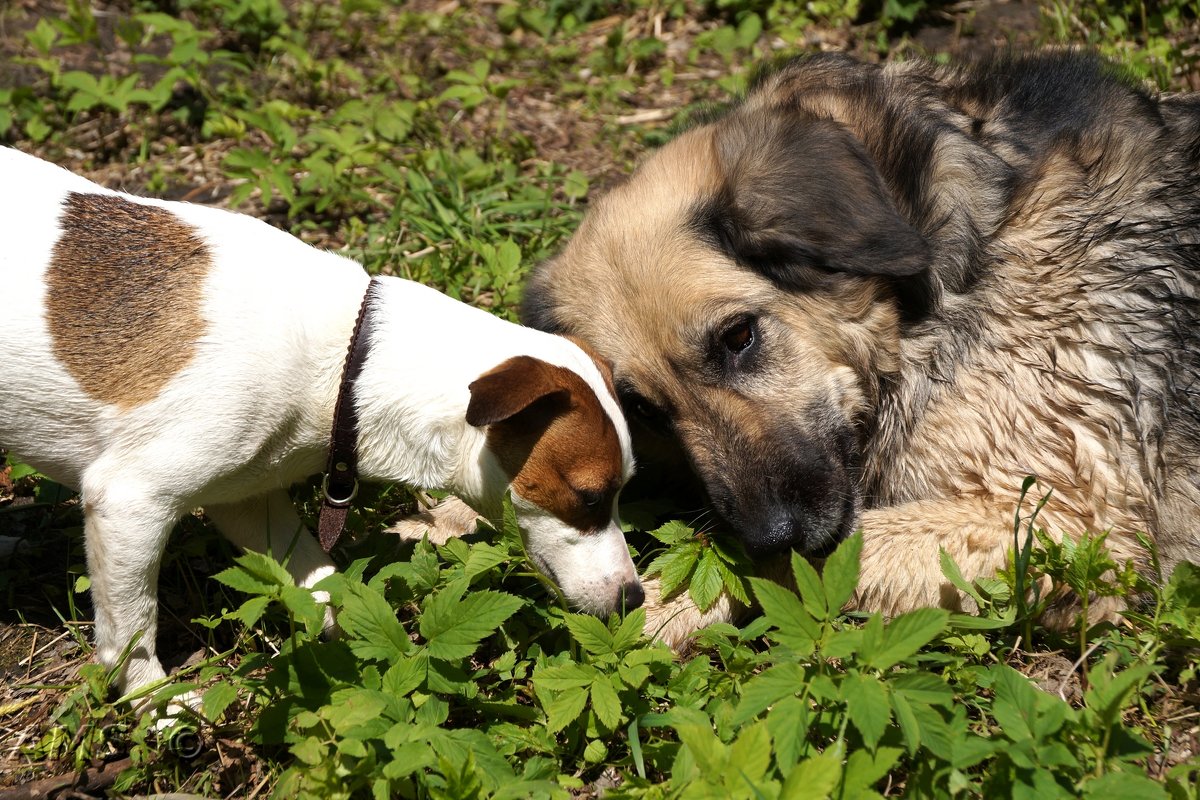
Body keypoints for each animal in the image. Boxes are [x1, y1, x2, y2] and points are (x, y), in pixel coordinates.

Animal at [0, 146, 643, 705]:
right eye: (589, 498)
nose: (634, 598)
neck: (346, 359)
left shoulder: (249, 500)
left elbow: (323, 581)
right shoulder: (128, 502)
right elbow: (131, 631)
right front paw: (156, 703)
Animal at [520, 53, 1200, 642]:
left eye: (738, 338)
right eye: (645, 410)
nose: (775, 533)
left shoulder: (1071, 521)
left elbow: (785, 559)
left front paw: (657, 604)